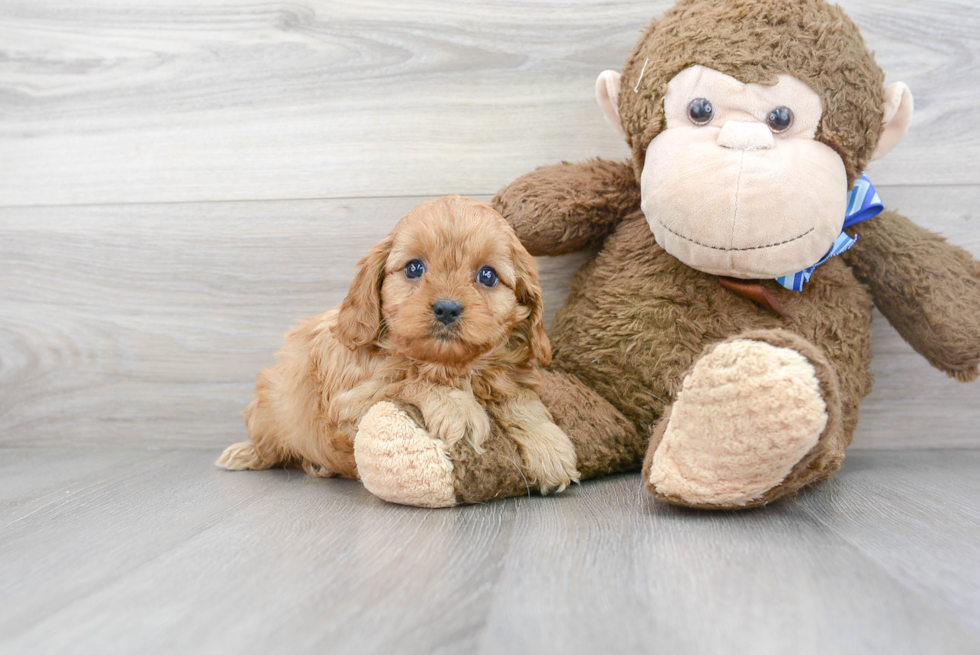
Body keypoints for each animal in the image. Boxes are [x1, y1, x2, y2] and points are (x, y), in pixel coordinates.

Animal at [218, 195, 580, 498]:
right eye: (414, 268)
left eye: (488, 276)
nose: (447, 308)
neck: (449, 364)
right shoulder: (350, 401)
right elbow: (409, 379)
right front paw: (458, 408)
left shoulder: (505, 376)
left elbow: (521, 399)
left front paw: (550, 447)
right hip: (270, 408)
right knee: (268, 446)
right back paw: (246, 454)